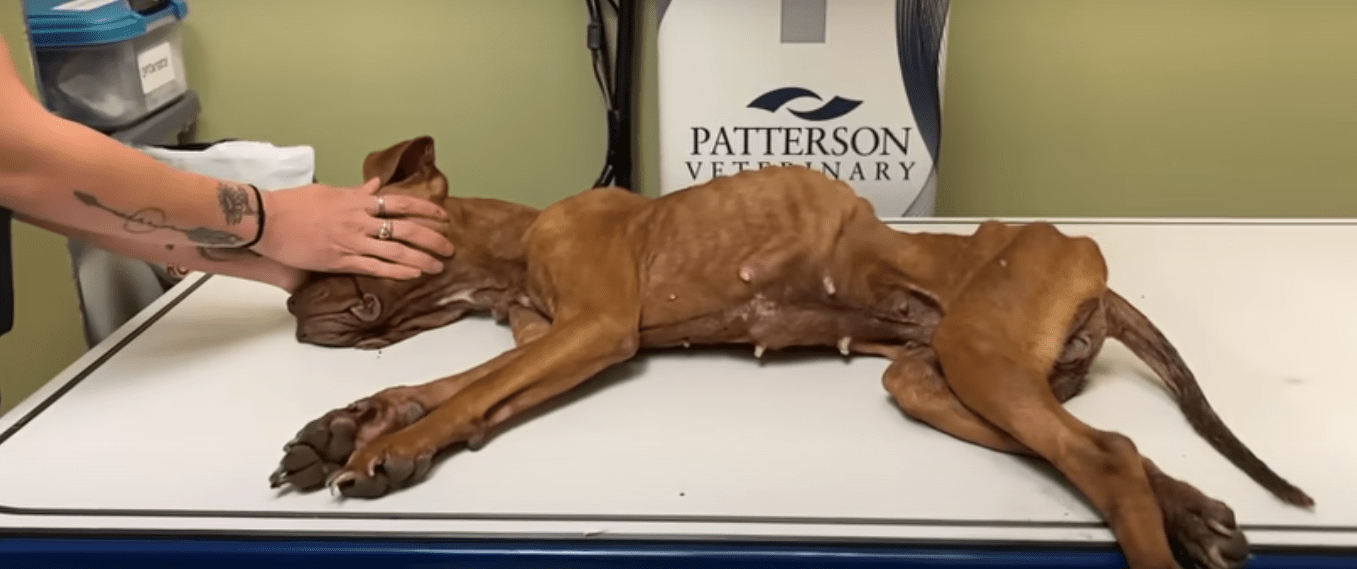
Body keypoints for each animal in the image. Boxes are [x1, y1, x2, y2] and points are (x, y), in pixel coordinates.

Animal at [267, 135, 1313, 567]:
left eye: (357, 219)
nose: (287, 296)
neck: (506, 256)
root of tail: (1079, 251)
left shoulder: (593, 330)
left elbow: (456, 392)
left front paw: (378, 443)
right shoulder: (554, 340)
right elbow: (457, 386)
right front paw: (353, 424)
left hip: (979, 354)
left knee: (1104, 455)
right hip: (934, 378)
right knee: (1105, 451)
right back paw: (1197, 514)